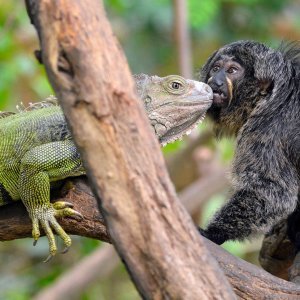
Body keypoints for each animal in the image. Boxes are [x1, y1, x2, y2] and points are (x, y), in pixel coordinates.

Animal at [198, 39, 300, 247]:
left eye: (232, 70)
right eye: (216, 68)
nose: (215, 82)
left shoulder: (268, 127)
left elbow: (273, 193)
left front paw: (214, 233)